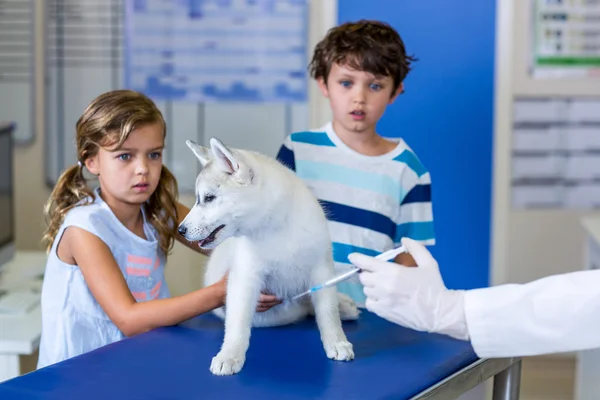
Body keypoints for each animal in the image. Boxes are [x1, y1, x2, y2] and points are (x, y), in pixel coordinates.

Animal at [177, 138, 356, 376]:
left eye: (209, 198)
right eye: (199, 198)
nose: (180, 230)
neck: (275, 228)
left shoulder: (321, 270)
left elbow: (327, 312)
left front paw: (336, 341)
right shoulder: (245, 278)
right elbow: (237, 324)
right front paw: (230, 355)